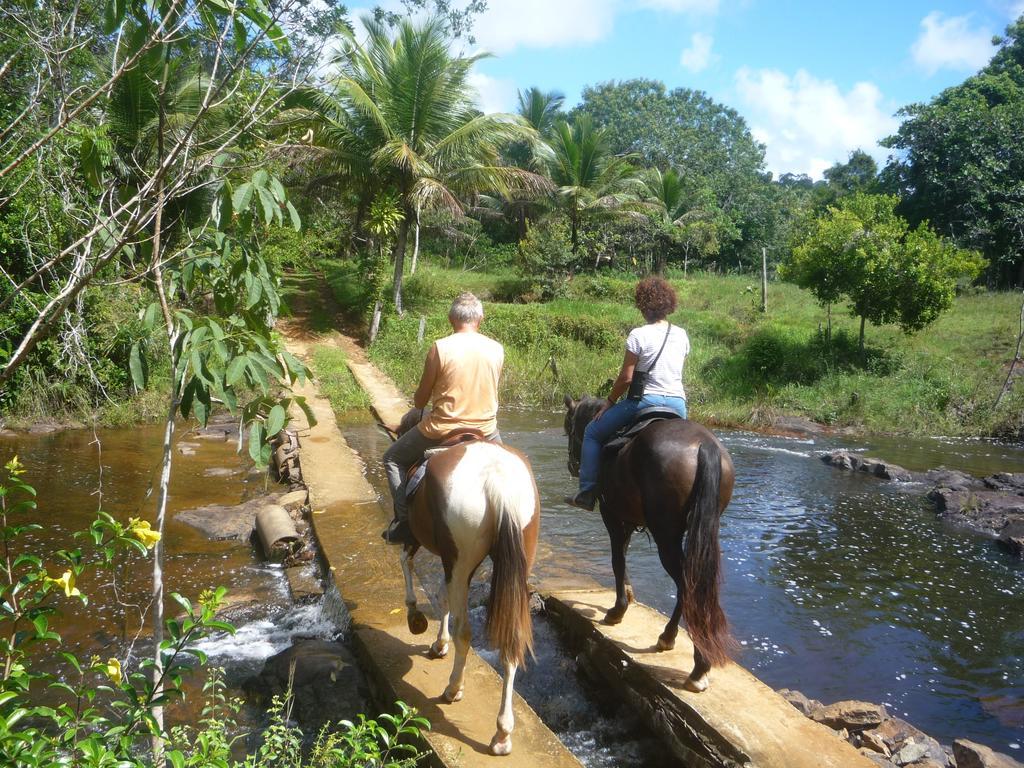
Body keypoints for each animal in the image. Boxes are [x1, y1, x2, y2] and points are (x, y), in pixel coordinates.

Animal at [391, 409, 540, 757]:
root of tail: (496, 479)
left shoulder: (416, 538)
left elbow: (408, 565)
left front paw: (416, 617)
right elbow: (444, 597)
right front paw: (437, 642)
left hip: (459, 559)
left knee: (465, 631)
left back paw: (453, 688)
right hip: (517, 561)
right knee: (511, 641)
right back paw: (502, 733)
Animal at [561, 397, 737, 692]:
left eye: (569, 427)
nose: (572, 466)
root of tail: (705, 447)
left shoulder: (611, 513)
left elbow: (617, 559)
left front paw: (617, 610)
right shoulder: (629, 518)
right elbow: (623, 554)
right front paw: (628, 596)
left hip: (666, 536)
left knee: (686, 585)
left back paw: (696, 665)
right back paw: (671, 639)